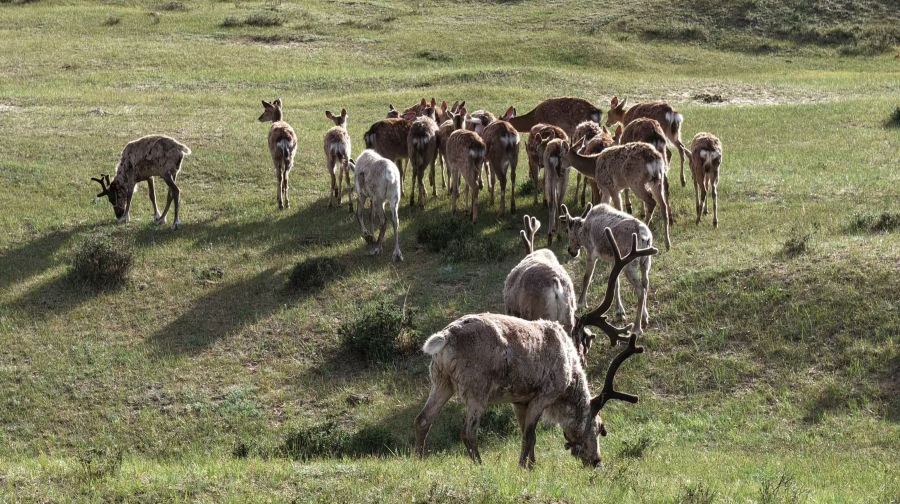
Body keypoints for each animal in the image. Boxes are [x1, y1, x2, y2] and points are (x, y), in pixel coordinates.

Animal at [415, 227, 656, 469]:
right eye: (599, 428)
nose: (597, 461)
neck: (570, 379)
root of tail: (445, 338)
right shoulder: (543, 395)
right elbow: (530, 435)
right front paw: (525, 467)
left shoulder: (520, 400)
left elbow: (526, 433)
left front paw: (531, 464)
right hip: (477, 390)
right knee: (468, 431)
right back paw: (480, 466)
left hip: (441, 381)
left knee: (423, 419)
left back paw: (419, 459)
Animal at [560, 203, 654, 335]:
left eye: (567, 230)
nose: (570, 251)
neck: (582, 232)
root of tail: (645, 237)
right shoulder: (614, 260)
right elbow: (616, 284)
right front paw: (619, 311)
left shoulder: (591, 253)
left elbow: (587, 278)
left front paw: (581, 303)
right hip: (646, 261)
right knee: (646, 283)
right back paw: (645, 317)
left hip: (630, 265)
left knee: (640, 290)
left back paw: (636, 328)